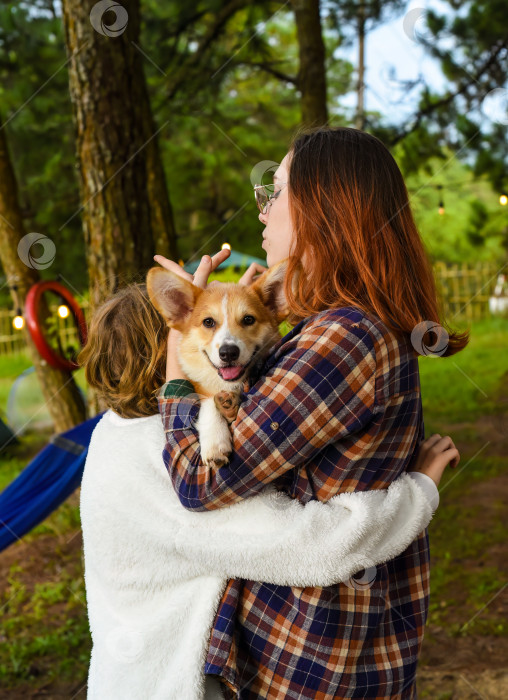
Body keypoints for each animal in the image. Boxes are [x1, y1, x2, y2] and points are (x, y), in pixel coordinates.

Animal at [147, 260, 290, 468]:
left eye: (248, 319)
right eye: (208, 322)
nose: (228, 352)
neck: (230, 385)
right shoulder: (203, 389)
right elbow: (208, 404)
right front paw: (215, 443)